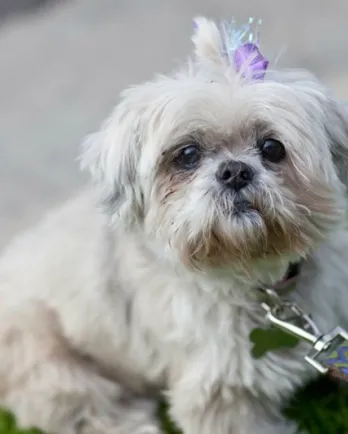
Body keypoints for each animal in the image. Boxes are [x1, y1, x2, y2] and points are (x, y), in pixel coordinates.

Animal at [0, 15, 348, 434]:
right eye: (187, 154)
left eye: (272, 147)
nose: (234, 171)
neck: (255, 281)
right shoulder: (223, 397)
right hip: (41, 354)